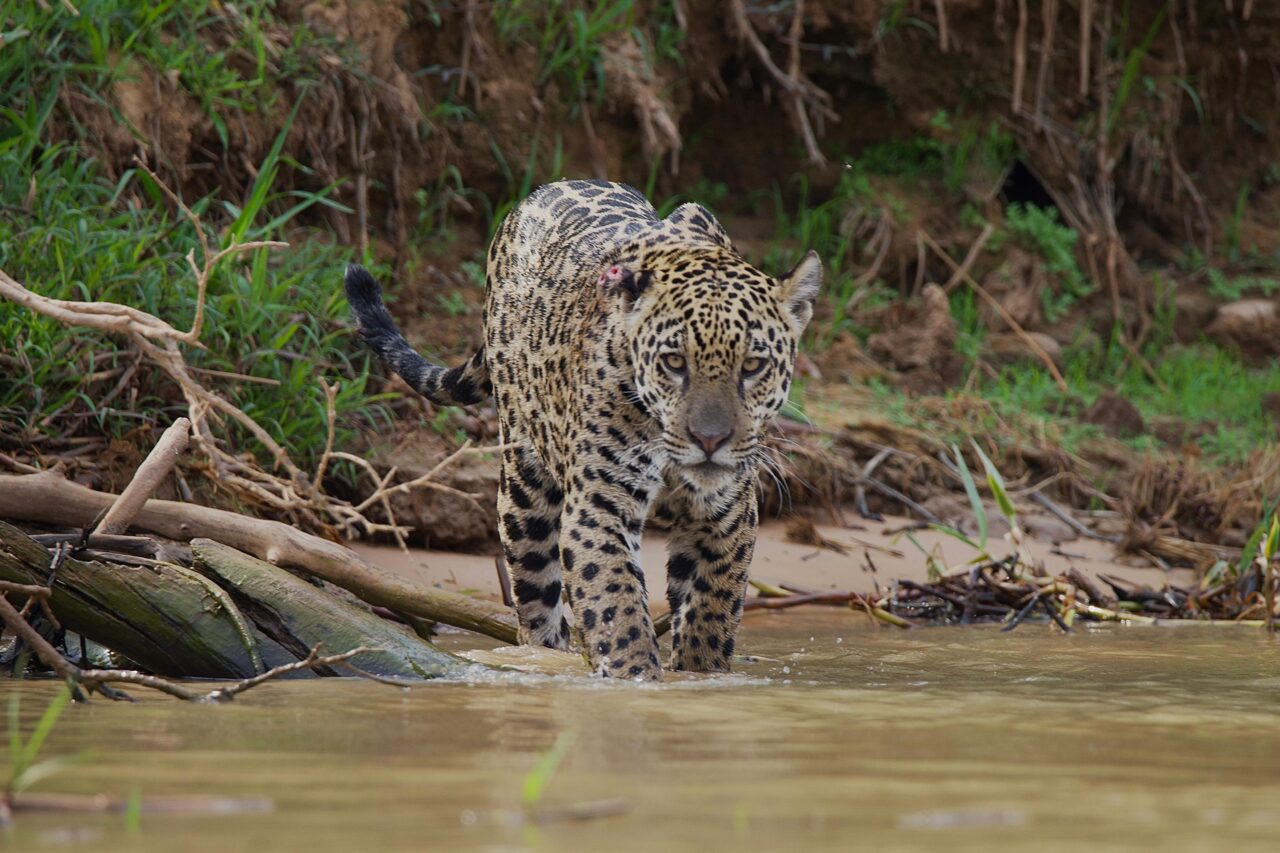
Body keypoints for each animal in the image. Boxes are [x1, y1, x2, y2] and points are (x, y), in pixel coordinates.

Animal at [344, 179, 820, 681]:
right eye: (674, 362)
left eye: (753, 366)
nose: (709, 441)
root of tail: (545, 190)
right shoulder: (599, 506)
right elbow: (617, 606)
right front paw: (637, 679)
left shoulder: (727, 515)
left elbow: (711, 612)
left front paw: (698, 677)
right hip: (524, 483)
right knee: (536, 598)